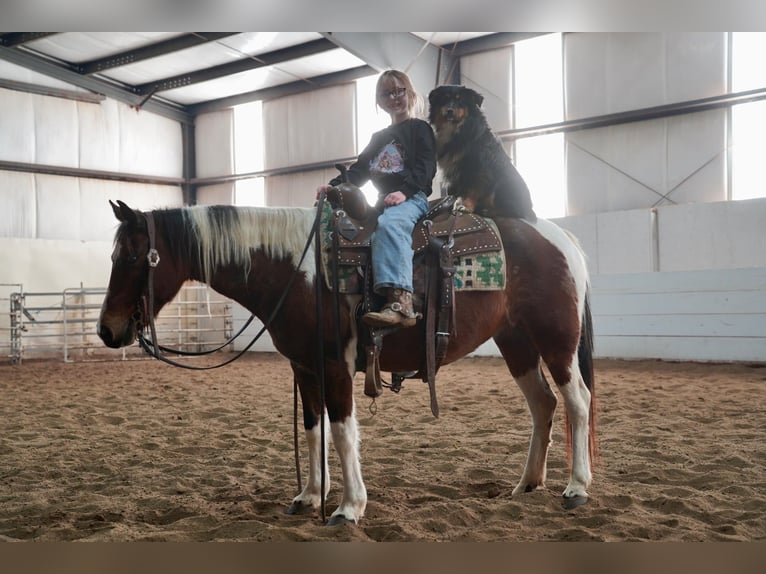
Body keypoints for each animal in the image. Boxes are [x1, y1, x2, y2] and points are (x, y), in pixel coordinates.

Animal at [97, 199, 600, 528]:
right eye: (115, 255)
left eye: (134, 255)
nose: (106, 330)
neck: (296, 271)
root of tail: (563, 239)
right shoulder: (305, 368)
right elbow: (312, 430)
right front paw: (309, 496)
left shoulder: (336, 366)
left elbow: (341, 433)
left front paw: (348, 507)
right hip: (516, 342)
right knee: (542, 405)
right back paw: (527, 484)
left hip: (556, 340)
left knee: (577, 401)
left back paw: (576, 487)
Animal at [428, 84, 536, 222]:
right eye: (444, 99)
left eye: (460, 100)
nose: (449, 110)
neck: (457, 129)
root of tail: (529, 208)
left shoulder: (480, 169)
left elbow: (473, 189)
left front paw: (464, 206)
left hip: (502, 184)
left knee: (513, 212)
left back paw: (488, 210)